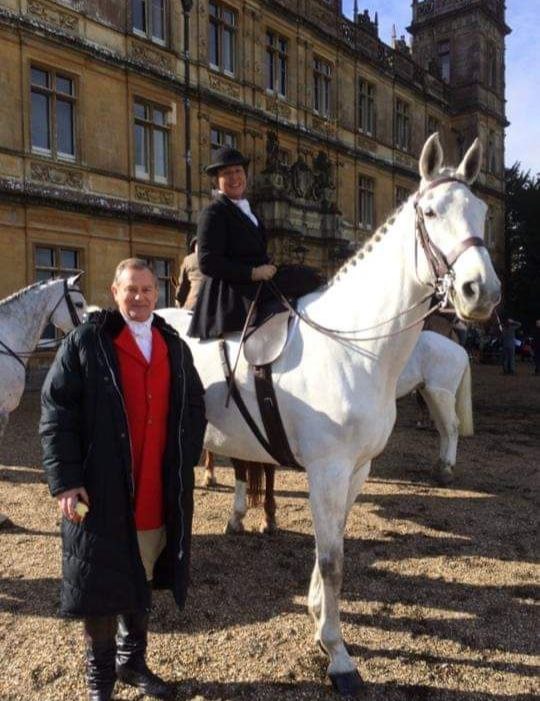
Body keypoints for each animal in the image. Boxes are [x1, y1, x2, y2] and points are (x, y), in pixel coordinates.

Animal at [158, 133, 500, 696]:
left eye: (483, 213)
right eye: (430, 212)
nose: (481, 292)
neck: (352, 346)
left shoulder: (355, 470)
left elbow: (333, 545)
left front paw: (320, 619)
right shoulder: (327, 470)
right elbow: (333, 559)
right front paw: (338, 655)